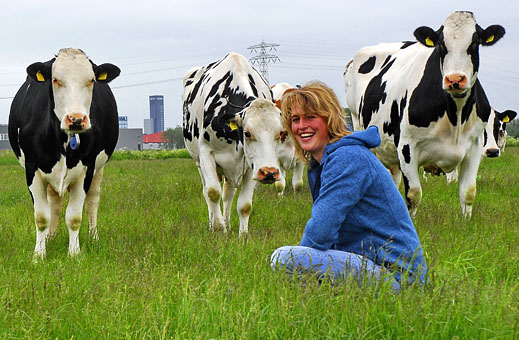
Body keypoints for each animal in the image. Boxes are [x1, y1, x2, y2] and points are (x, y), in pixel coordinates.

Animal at [8, 47, 121, 258]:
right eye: (55, 79)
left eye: (91, 80)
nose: (76, 119)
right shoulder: (32, 168)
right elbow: (41, 216)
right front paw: (39, 255)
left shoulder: (87, 168)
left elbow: (74, 217)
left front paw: (74, 253)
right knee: (54, 204)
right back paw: (50, 237)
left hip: (99, 169)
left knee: (93, 200)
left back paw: (94, 237)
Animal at [183, 52, 292, 236]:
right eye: (247, 133)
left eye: (280, 133)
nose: (269, 173)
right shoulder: (206, 154)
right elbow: (212, 192)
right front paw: (218, 229)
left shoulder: (251, 165)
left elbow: (245, 205)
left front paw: (243, 236)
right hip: (199, 162)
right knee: (207, 192)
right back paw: (215, 224)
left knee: (228, 194)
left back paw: (227, 223)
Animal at [346, 11, 508, 218]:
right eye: (441, 45)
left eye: (474, 43)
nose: (455, 79)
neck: (455, 115)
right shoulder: (406, 147)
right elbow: (413, 195)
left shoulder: (475, 147)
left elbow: (468, 192)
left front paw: (465, 222)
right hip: (358, 125)